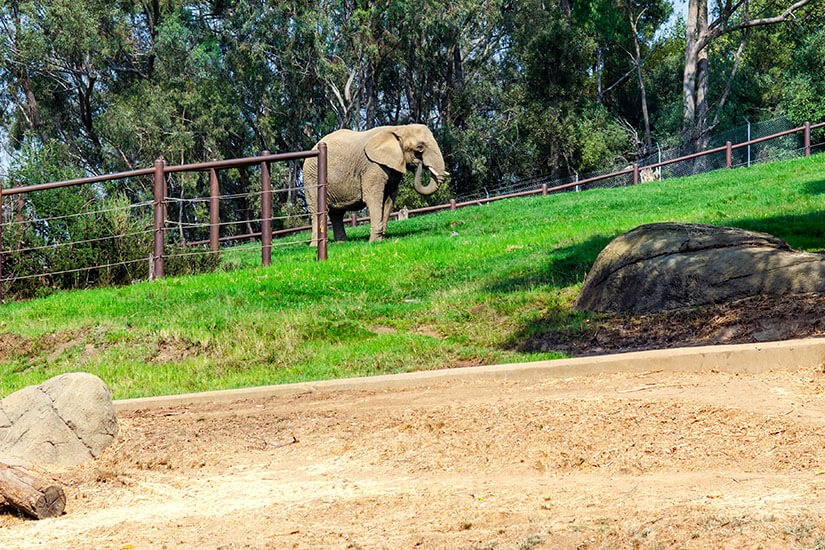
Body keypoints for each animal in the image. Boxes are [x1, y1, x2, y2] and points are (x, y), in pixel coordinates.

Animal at [300, 126, 448, 247]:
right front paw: (374, 242)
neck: (398, 128)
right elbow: (373, 197)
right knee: (317, 209)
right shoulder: (372, 165)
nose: (419, 163)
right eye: (420, 147)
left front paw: (381, 239)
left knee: (337, 213)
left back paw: (342, 243)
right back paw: (314, 246)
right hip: (311, 177)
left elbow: (388, 199)